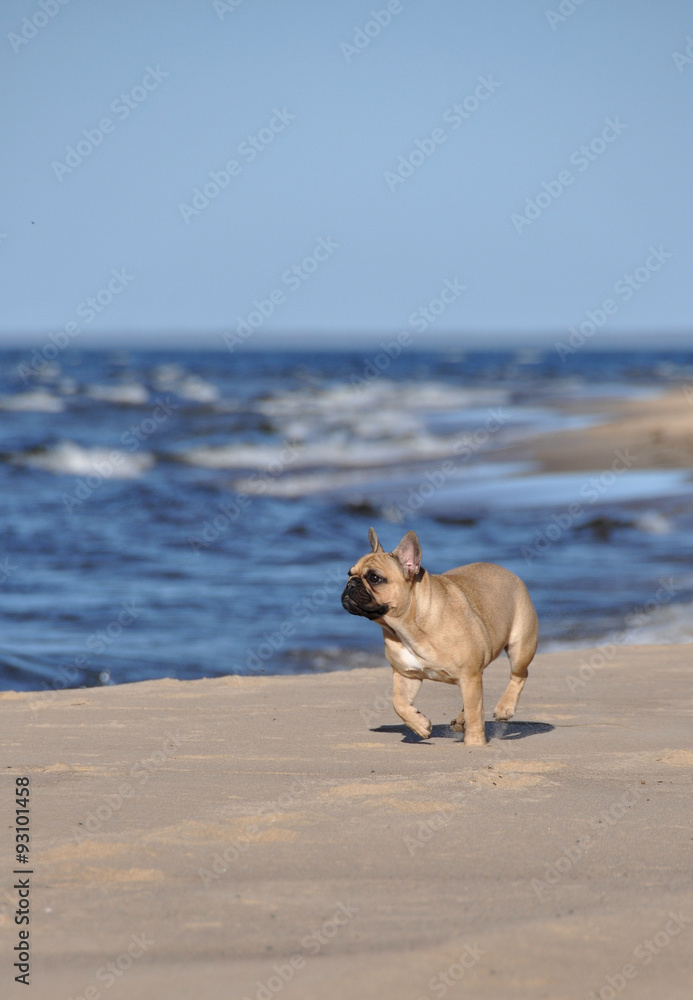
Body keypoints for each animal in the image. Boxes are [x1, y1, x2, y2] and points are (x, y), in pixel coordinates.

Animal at [344, 532, 536, 744]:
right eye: (349, 573)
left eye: (374, 578)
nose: (350, 583)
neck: (407, 627)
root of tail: (510, 574)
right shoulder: (406, 674)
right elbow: (398, 702)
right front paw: (419, 724)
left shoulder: (469, 675)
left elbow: (475, 714)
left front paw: (475, 742)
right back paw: (461, 720)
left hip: (520, 648)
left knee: (519, 675)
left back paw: (505, 707)